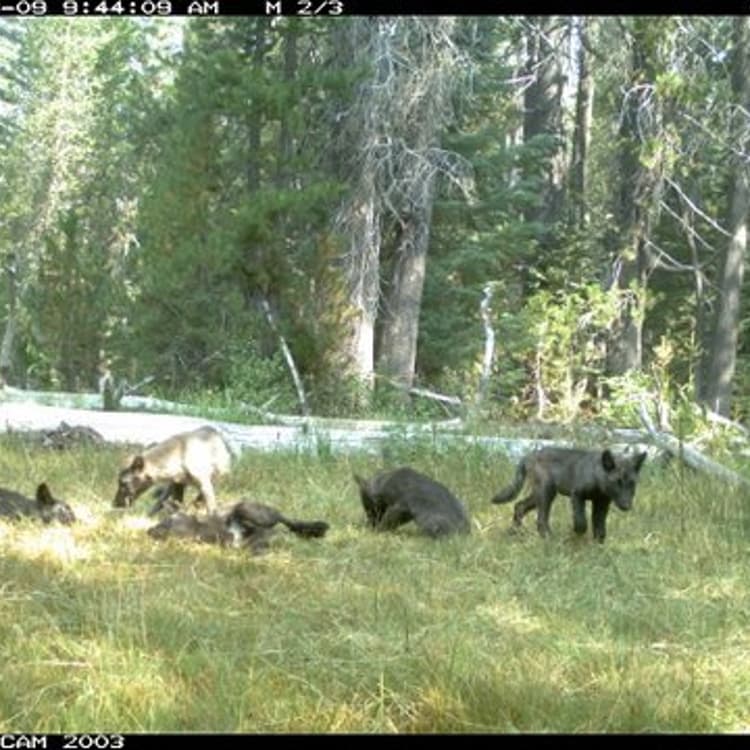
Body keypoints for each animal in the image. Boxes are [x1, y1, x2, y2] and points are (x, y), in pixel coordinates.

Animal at [491, 447, 647, 542]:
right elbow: (581, 521)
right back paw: (549, 539)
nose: (626, 506)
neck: (597, 479)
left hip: (539, 495)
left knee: (519, 506)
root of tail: (529, 455)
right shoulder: (577, 494)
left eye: (632, 484)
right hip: (546, 493)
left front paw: (598, 546)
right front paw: (576, 535)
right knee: (541, 519)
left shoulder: (601, 504)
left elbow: (600, 527)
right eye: (617, 483)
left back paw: (513, 533)